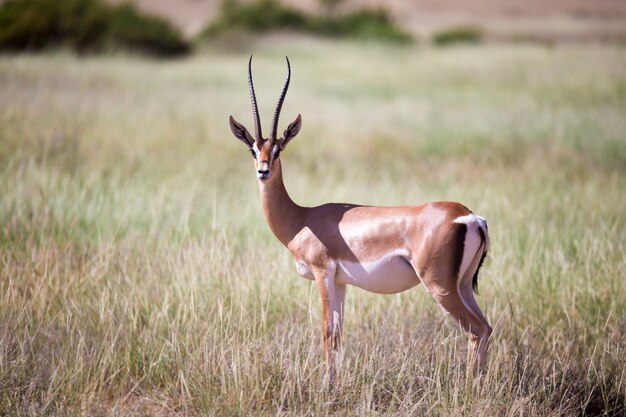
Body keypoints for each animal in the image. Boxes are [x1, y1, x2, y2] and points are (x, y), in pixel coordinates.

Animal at [227, 57, 490, 382]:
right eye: (253, 150)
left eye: (278, 149)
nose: (263, 171)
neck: (301, 218)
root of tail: (471, 217)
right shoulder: (340, 283)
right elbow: (338, 334)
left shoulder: (322, 274)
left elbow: (326, 332)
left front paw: (325, 386)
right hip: (463, 285)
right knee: (486, 327)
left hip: (439, 286)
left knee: (476, 330)